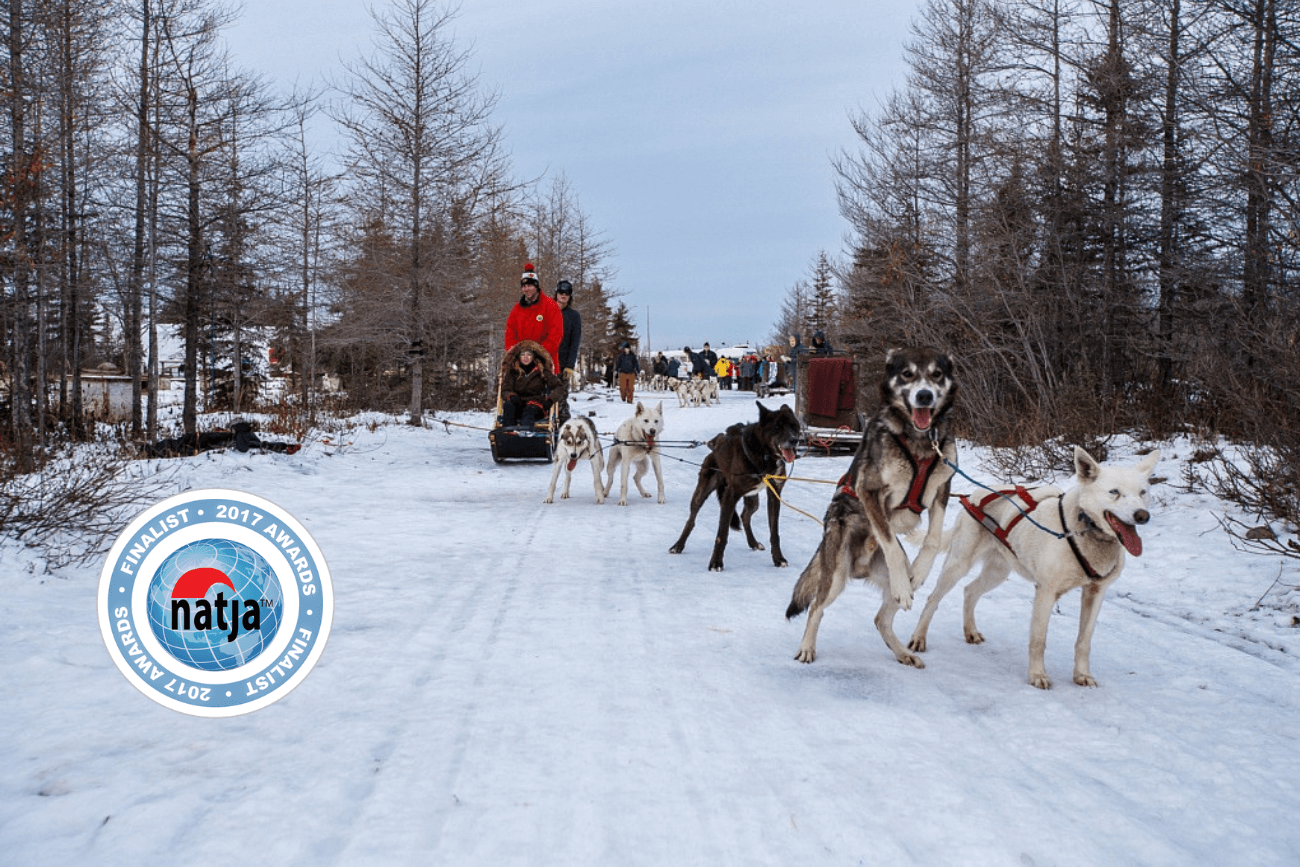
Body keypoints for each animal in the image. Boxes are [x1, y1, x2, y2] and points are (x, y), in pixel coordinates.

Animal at [670, 402, 800, 577]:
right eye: (778, 427)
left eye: (794, 426)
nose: (794, 440)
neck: (763, 454)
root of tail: (714, 443)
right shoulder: (730, 496)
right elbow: (722, 534)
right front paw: (715, 563)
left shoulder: (774, 495)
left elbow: (774, 533)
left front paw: (778, 559)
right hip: (701, 494)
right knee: (691, 520)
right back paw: (678, 545)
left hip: (752, 500)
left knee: (745, 516)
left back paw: (753, 543)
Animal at [909, 447, 1164, 691]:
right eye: (1114, 492)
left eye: (1143, 493)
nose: (1142, 516)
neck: (1082, 529)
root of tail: (972, 496)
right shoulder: (1046, 592)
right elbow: (1038, 640)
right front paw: (1037, 676)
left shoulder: (1095, 593)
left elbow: (1084, 641)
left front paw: (1082, 675)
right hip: (958, 565)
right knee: (933, 599)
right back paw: (918, 638)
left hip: (997, 572)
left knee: (970, 590)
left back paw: (970, 630)